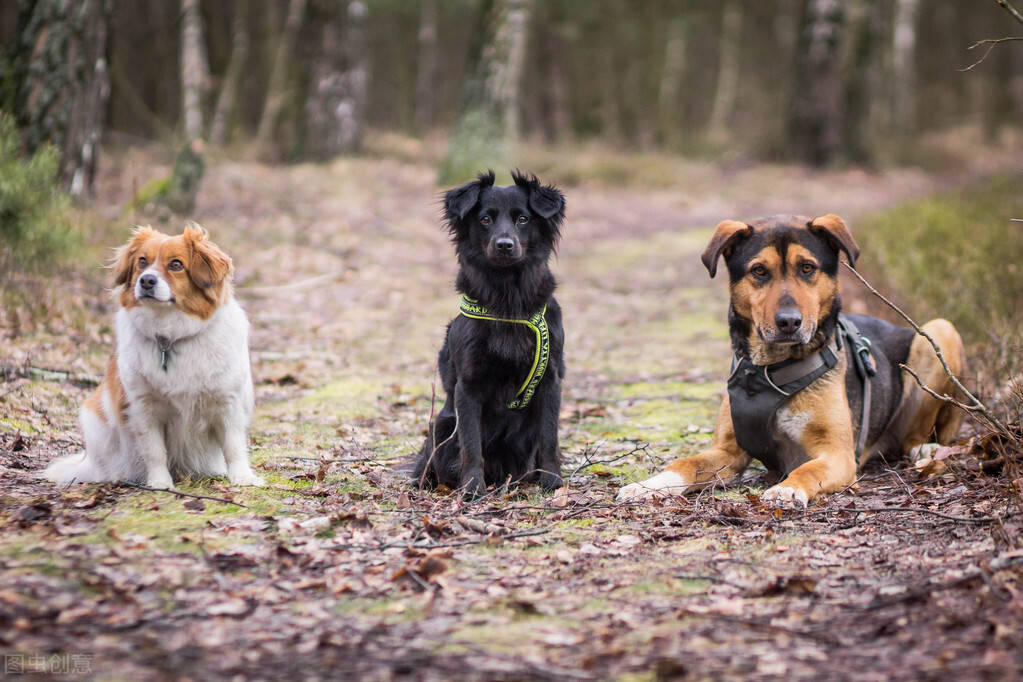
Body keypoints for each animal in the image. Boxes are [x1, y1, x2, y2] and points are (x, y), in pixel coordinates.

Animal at [47, 226, 263, 488]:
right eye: (142, 261)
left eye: (176, 264)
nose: (146, 280)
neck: (170, 337)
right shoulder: (144, 408)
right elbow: (155, 451)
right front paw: (160, 483)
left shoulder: (227, 404)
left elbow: (233, 446)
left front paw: (242, 477)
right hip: (95, 419)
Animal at [409, 170, 568, 498]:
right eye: (484, 219)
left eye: (523, 219)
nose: (504, 244)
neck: (507, 300)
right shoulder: (468, 386)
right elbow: (471, 443)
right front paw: (472, 487)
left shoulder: (550, 380)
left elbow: (549, 436)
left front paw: (551, 481)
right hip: (441, 426)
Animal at [617, 213, 961, 507]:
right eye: (759, 271)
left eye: (807, 268)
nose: (789, 322)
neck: (769, 372)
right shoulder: (727, 451)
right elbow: (686, 463)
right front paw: (648, 484)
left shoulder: (837, 454)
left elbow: (808, 469)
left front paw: (787, 488)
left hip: (941, 330)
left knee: (916, 435)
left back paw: (926, 449)